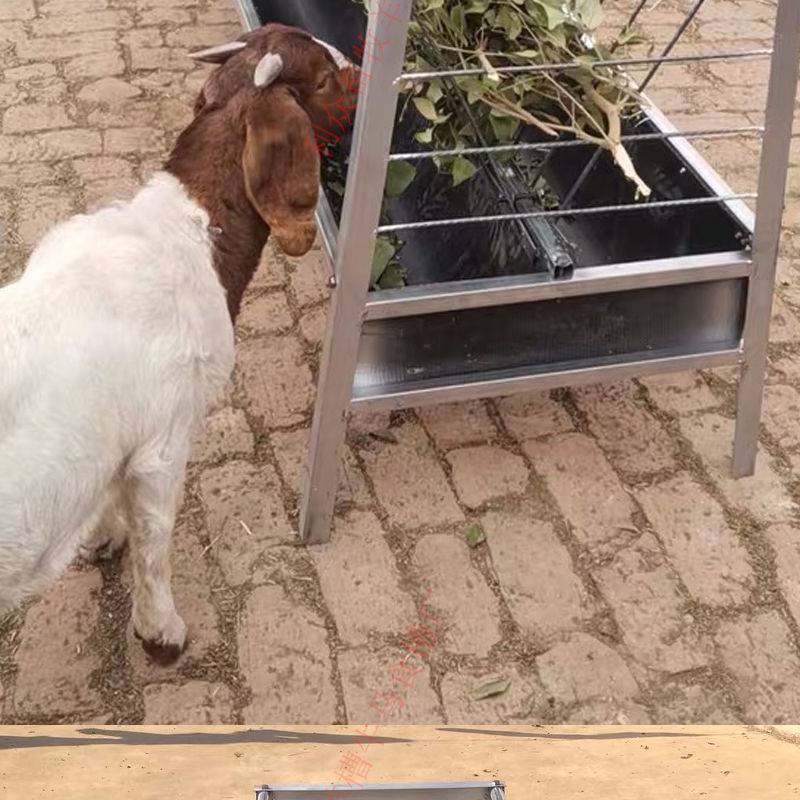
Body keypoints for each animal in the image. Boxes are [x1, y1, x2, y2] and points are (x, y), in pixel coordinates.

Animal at [0, 25, 358, 664]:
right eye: (321, 79)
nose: (358, 69)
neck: (185, 232)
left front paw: (102, 535)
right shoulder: (165, 437)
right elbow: (156, 539)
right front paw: (161, 632)